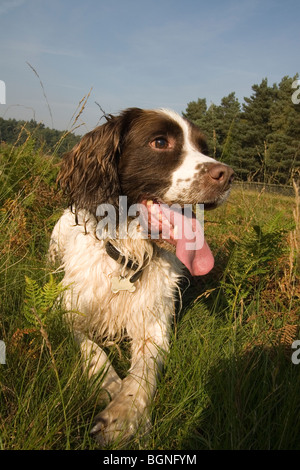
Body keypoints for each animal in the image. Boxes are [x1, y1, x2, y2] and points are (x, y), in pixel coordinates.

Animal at [48, 108, 234, 446]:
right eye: (160, 142)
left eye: (203, 147)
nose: (228, 175)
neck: (129, 259)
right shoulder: (65, 311)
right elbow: (92, 350)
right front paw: (109, 386)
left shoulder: (154, 326)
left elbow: (143, 373)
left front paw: (123, 416)